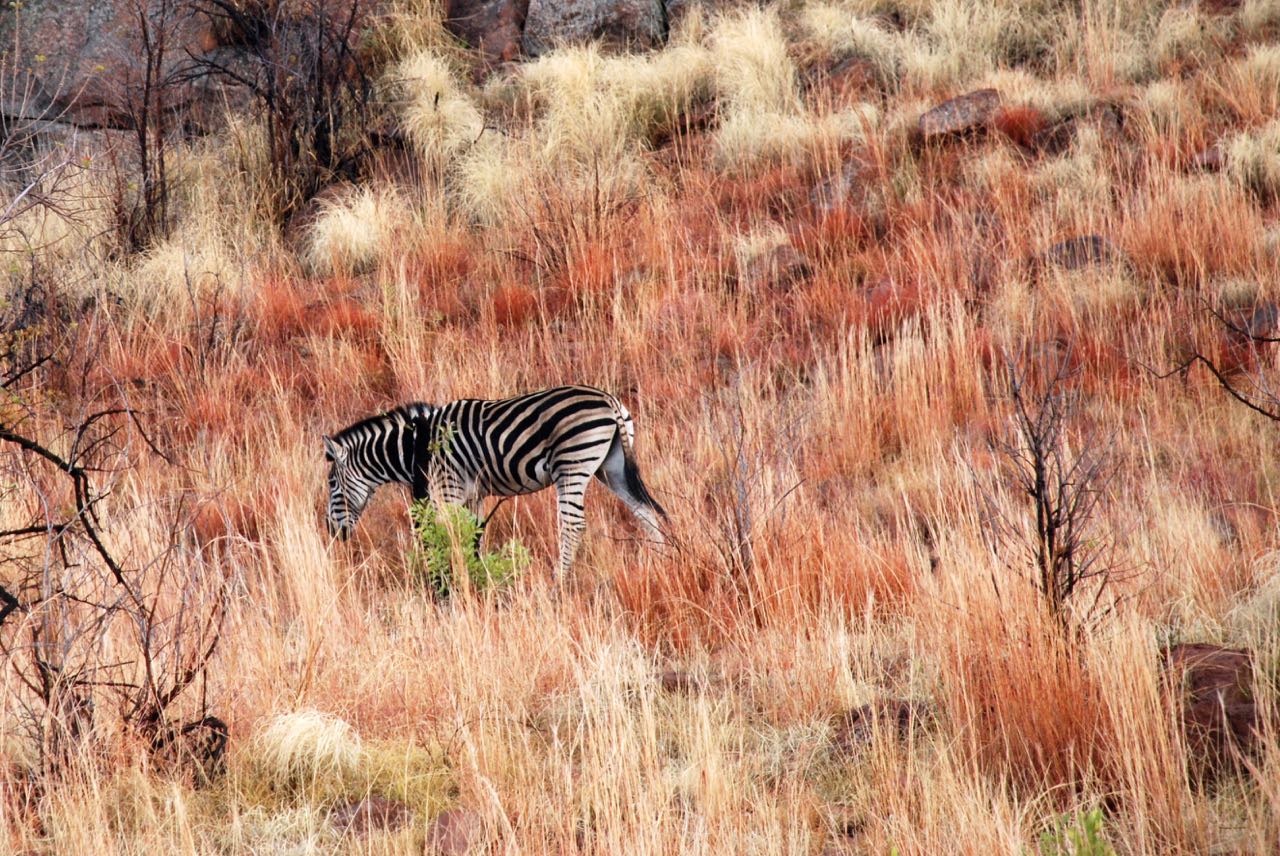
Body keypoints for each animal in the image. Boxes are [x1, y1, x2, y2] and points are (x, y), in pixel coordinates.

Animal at [322, 386, 670, 573]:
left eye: (332, 485)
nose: (331, 532)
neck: (419, 444)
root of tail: (609, 400)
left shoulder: (448, 488)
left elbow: (450, 533)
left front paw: (450, 579)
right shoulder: (473, 493)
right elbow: (473, 534)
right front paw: (475, 574)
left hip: (572, 465)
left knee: (573, 524)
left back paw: (559, 582)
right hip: (611, 468)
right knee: (644, 511)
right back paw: (659, 562)